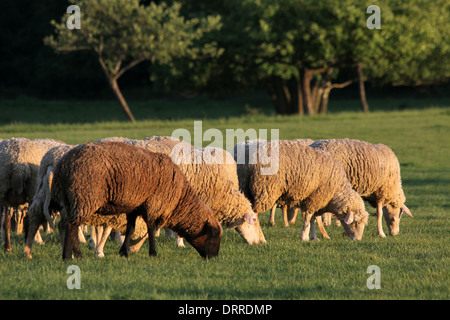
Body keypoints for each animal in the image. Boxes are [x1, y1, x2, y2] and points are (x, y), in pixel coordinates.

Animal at [48, 142, 222, 260]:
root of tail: (63, 165)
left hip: (69, 199)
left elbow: (130, 229)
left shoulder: (134, 207)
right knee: (72, 225)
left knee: (65, 225)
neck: (179, 199)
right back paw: (70, 256)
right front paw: (153, 253)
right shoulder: (153, 204)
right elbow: (151, 228)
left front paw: (124, 252)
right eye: (213, 236)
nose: (213, 258)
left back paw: (74, 254)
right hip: (83, 196)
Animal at [236, 139, 370, 240]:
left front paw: (314, 237)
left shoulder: (311, 198)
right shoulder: (315, 197)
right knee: (255, 214)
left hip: (244, 186)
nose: (358, 240)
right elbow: (308, 219)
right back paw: (260, 238)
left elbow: (312, 219)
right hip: (265, 189)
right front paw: (304, 237)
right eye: (356, 222)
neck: (336, 191)